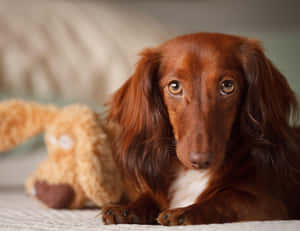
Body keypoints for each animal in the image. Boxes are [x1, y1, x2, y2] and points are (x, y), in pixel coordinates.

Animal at [101, 33, 300, 226]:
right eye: (174, 86)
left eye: (227, 86)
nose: (201, 160)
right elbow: (149, 197)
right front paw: (127, 209)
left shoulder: (269, 204)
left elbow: (225, 198)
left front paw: (185, 211)